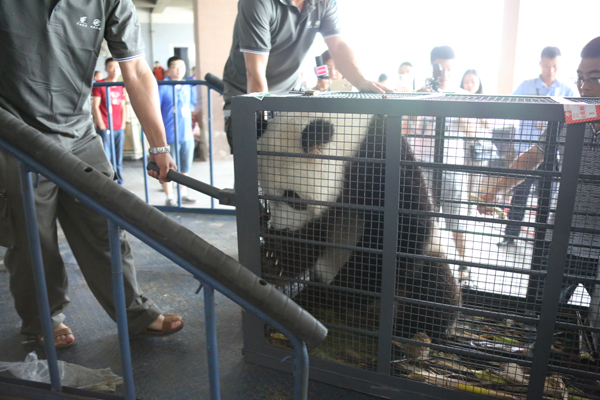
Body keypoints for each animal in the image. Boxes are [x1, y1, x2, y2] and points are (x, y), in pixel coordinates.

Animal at [256, 112, 460, 344]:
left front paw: (345, 290)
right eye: (268, 195)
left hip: (430, 266)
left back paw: (404, 331)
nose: (281, 228)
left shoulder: (383, 160)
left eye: (292, 197)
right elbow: (312, 237)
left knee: (435, 290)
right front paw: (273, 260)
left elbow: (404, 230)